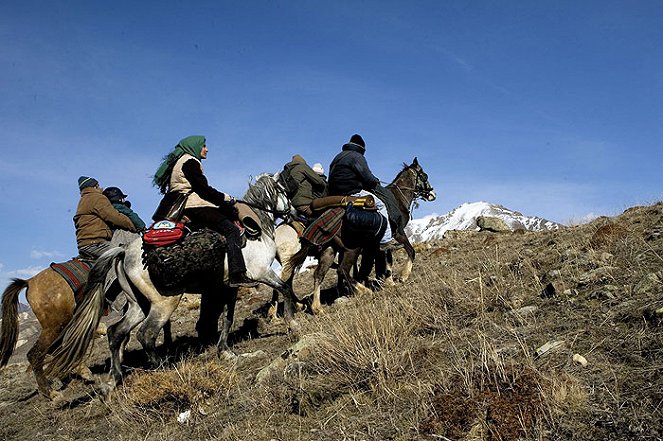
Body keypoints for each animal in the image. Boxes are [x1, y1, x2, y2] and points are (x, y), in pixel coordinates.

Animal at [0, 230, 138, 398]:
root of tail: (29, 281)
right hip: (55, 325)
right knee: (36, 354)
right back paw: (51, 393)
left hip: (61, 324)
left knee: (61, 347)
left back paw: (83, 372)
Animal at [46, 174, 304, 386]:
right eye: (284, 190)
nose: (295, 213)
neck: (255, 231)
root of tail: (124, 253)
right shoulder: (261, 273)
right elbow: (284, 288)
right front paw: (293, 323)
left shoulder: (227, 287)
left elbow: (228, 318)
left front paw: (224, 350)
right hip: (164, 303)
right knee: (146, 334)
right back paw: (162, 367)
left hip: (139, 305)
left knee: (116, 333)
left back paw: (116, 378)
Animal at [284, 157, 436, 312]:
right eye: (424, 176)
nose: (432, 194)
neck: (397, 198)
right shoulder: (398, 233)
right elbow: (410, 251)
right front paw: (403, 276)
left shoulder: (378, 244)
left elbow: (386, 260)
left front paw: (389, 281)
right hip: (352, 249)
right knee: (342, 270)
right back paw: (364, 291)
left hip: (330, 250)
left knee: (319, 274)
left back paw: (317, 307)